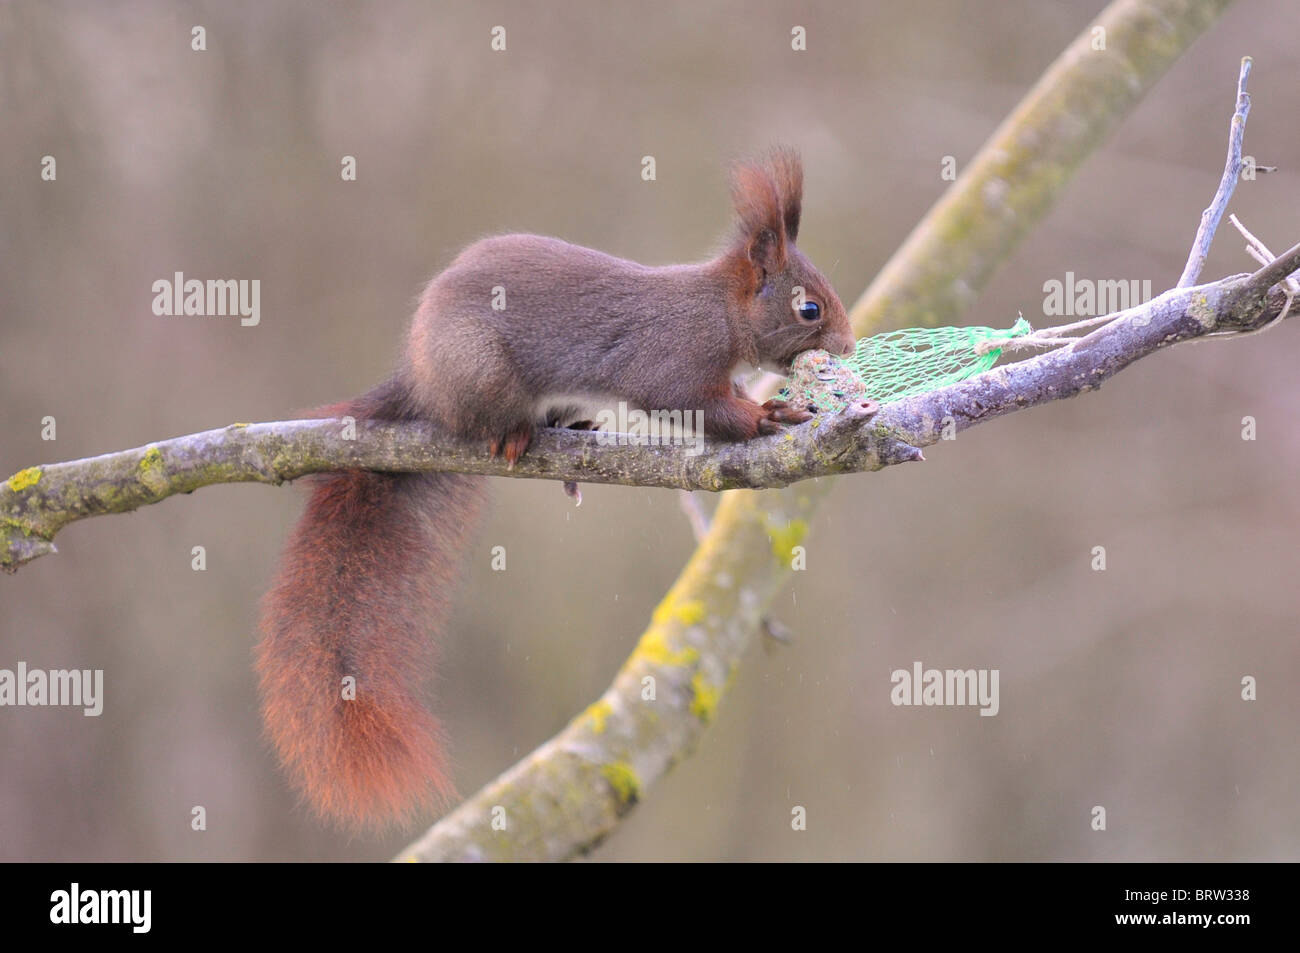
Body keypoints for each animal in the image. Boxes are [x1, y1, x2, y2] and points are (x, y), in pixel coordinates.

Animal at [257, 146, 857, 826]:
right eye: (808, 309)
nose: (846, 344)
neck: (722, 312)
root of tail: (421, 381)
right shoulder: (670, 359)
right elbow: (687, 402)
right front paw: (766, 415)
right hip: (478, 375)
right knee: (481, 420)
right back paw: (515, 433)